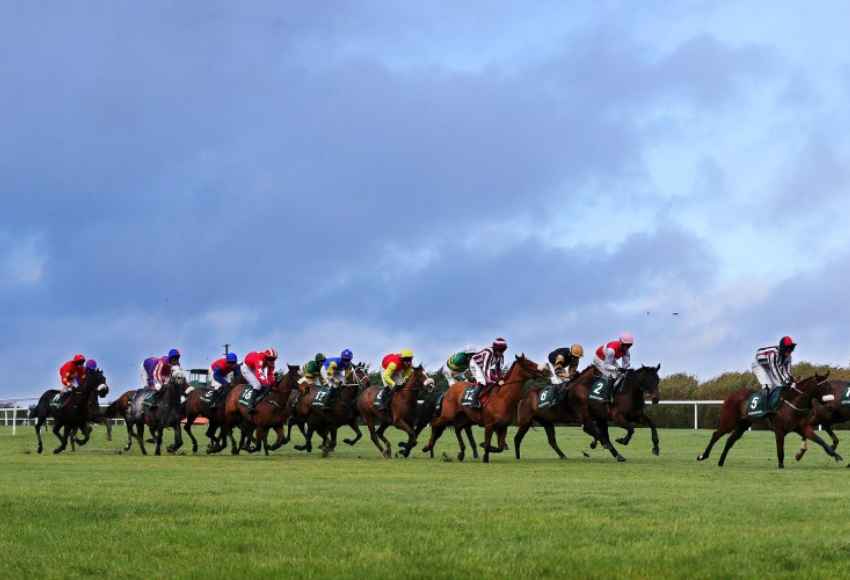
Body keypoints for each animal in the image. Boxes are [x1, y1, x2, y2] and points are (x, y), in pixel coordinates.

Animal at [420, 354, 548, 462]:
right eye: (529, 363)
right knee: (435, 423)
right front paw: (485, 456)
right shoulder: (489, 425)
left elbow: (500, 447)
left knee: (457, 429)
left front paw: (486, 448)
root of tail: (448, 390)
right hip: (448, 414)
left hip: (464, 417)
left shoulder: (503, 426)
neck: (503, 397)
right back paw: (428, 447)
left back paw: (461, 452)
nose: (544, 371)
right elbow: (487, 443)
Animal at [696, 374, 840, 468]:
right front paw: (781, 466)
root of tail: (731, 395)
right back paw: (703, 456)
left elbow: (820, 441)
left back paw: (721, 462)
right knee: (716, 435)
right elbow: (780, 452)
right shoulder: (779, 431)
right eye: (825, 387)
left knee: (730, 440)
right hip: (729, 421)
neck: (792, 403)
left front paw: (836, 455)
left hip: (743, 425)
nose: (832, 406)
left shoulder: (801, 428)